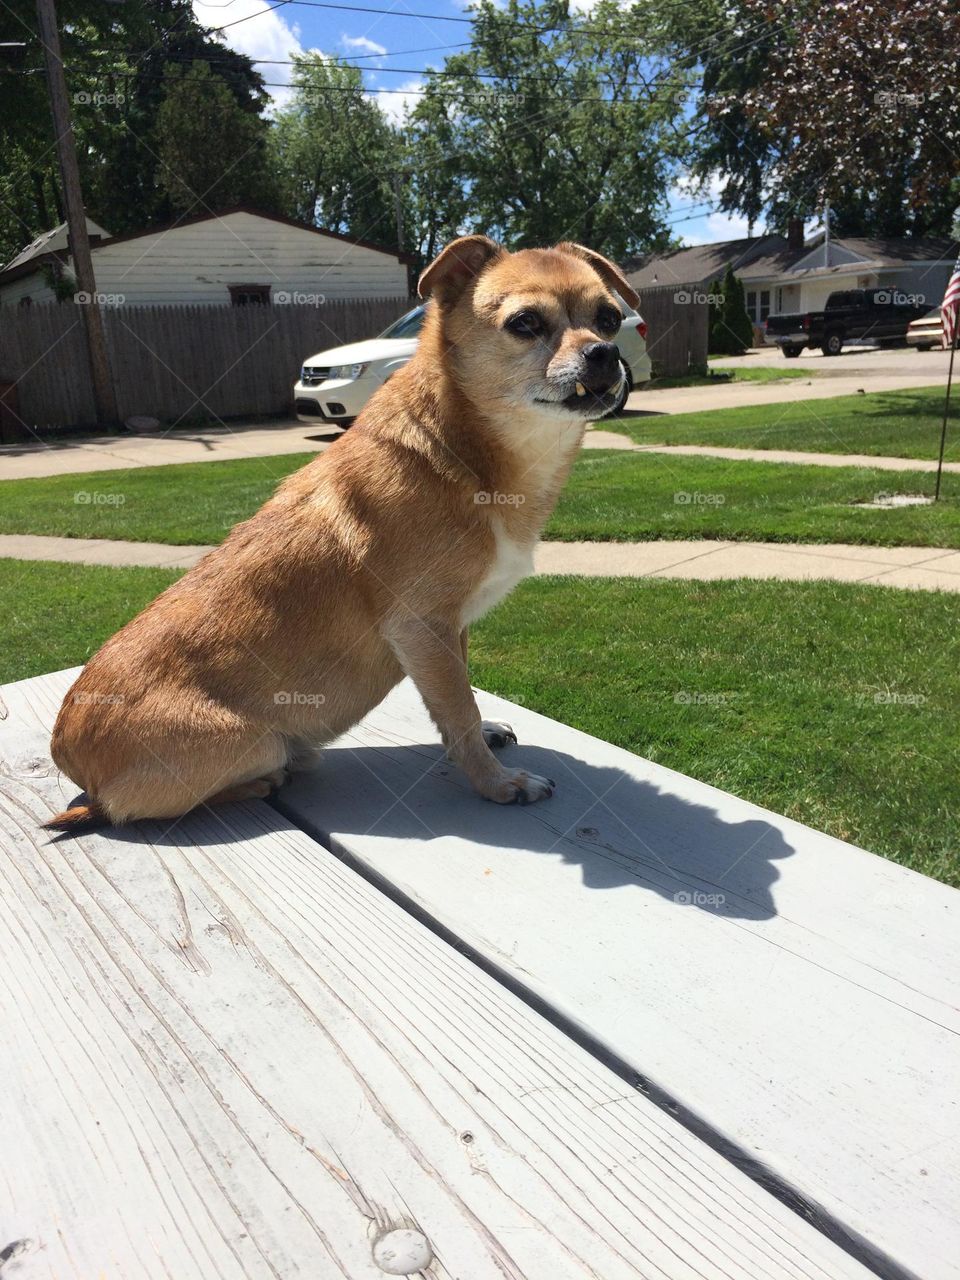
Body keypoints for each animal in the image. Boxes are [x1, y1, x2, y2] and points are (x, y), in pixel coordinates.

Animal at [48, 234, 642, 824]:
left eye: (610, 319)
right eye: (525, 323)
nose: (605, 352)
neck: (471, 453)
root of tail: (70, 760)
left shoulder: (452, 629)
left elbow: (462, 696)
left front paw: (488, 733)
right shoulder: (423, 628)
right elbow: (458, 709)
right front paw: (496, 783)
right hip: (251, 743)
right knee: (137, 807)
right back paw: (263, 781)